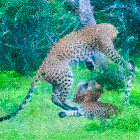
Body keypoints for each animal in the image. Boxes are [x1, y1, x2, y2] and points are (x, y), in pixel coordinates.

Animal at [0, 22, 136, 121]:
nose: (119, 39)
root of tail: (41, 68)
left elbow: (90, 61)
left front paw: (92, 68)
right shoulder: (107, 47)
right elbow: (118, 58)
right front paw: (130, 66)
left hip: (57, 82)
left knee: (54, 97)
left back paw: (69, 107)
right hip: (66, 76)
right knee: (61, 97)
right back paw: (72, 105)